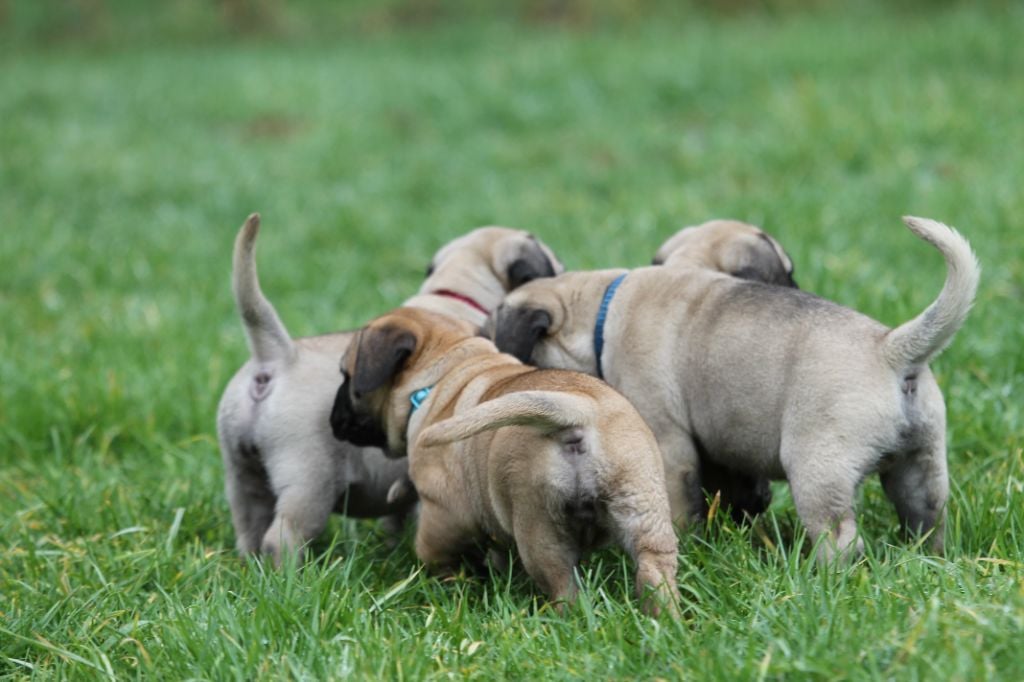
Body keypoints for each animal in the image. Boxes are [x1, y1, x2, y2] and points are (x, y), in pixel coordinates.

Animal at [214, 214, 561, 561]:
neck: (452, 293)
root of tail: (278, 356)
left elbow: (396, 517)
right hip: (308, 483)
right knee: (283, 537)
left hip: (241, 476)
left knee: (250, 527)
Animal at [327, 307, 679, 610]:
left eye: (346, 376)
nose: (332, 420)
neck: (441, 373)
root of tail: (579, 410)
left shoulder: (443, 514)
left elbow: (434, 553)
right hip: (645, 512)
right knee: (655, 575)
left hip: (540, 531)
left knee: (565, 589)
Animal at [491, 216, 978, 557]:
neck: (601, 310)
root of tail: (892, 349)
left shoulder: (671, 448)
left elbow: (680, 506)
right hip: (921, 468)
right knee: (928, 519)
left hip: (818, 473)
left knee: (840, 539)